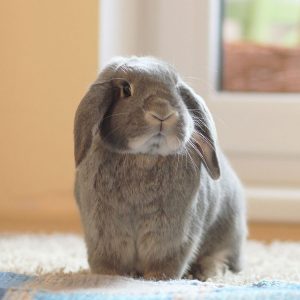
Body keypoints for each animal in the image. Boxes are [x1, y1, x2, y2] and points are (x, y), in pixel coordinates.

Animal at [73, 56, 246, 282]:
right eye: (126, 89)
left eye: (176, 88)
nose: (162, 112)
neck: (145, 156)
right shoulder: (102, 230)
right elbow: (108, 260)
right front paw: (108, 276)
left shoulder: (175, 233)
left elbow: (167, 260)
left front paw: (157, 279)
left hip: (228, 229)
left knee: (221, 256)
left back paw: (208, 273)